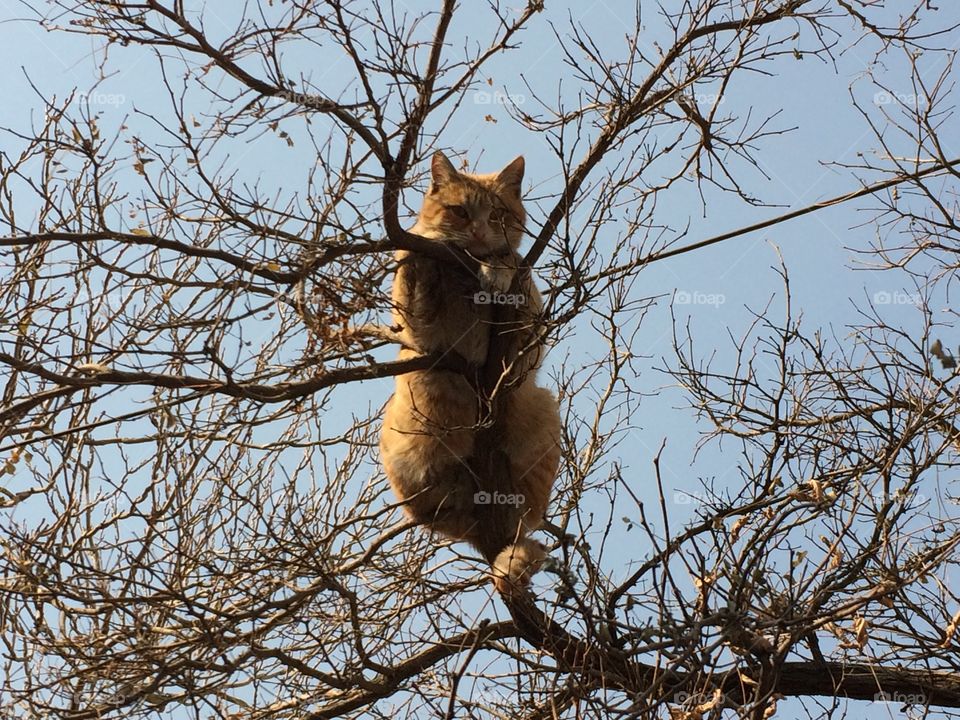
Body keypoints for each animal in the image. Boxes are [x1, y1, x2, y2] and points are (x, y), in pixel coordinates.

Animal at [376, 150, 560, 592]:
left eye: (496, 215)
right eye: (459, 212)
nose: (477, 233)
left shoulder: (527, 339)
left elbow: (513, 264)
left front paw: (499, 265)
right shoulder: (419, 333)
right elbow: (416, 264)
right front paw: (428, 247)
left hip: (542, 405)